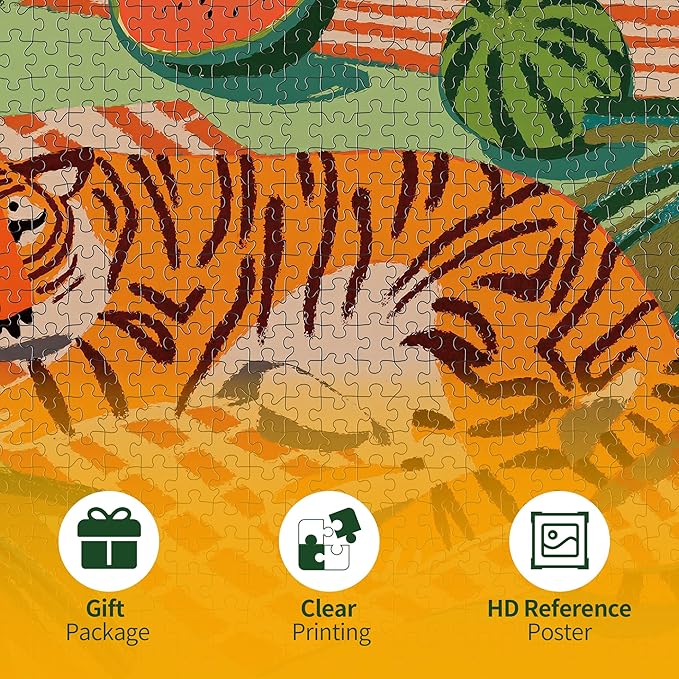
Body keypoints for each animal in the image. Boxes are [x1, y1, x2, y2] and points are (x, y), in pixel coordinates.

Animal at [0, 146, 676, 536]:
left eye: (21, 226)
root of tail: (641, 297)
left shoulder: (140, 343)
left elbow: (30, 399)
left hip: (473, 316)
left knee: (481, 443)